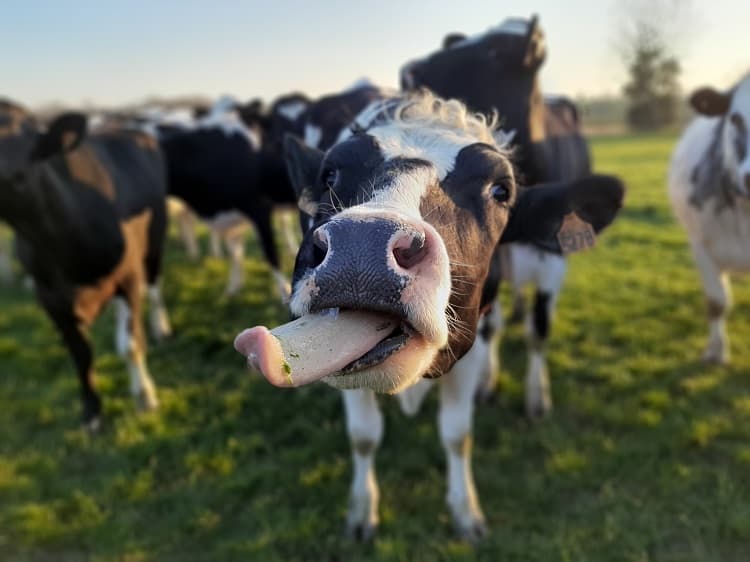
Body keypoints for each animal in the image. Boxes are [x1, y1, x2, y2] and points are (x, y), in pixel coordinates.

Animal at [0, 111, 171, 429]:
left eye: (30, 151)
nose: (10, 176)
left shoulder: (128, 276)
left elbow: (130, 343)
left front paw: (145, 396)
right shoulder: (49, 296)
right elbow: (80, 353)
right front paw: (92, 411)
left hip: (156, 237)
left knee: (154, 287)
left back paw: (161, 327)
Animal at [234, 92, 624, 540]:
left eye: (500, 190)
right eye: (329, 174)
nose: (362, 244)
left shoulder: (468, 341)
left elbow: (457, 434)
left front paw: (465, 511)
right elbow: (363, 436)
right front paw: (362, 510)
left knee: (534, 330)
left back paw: (534, 395)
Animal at [401, 15, 597, 417]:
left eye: (496, 51)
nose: (408, 72)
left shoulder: (553, 258)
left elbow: (540, 328)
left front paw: (537, 395)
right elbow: (489, 325)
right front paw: (486, 383)